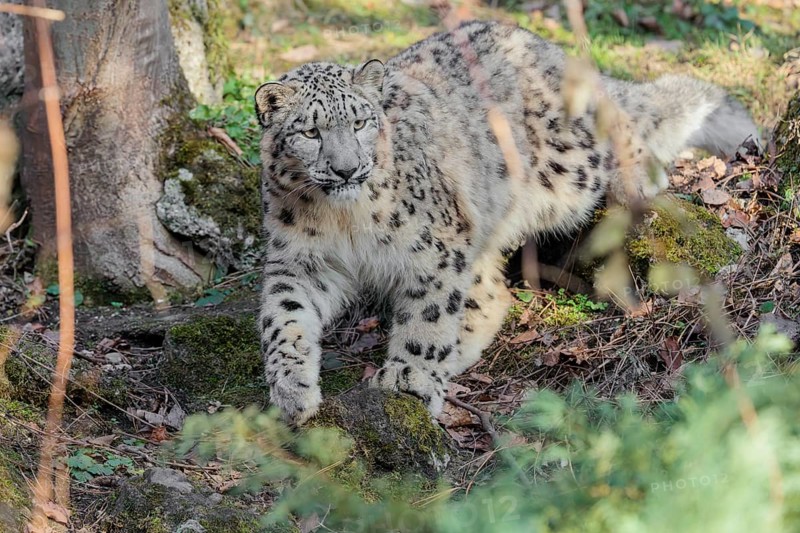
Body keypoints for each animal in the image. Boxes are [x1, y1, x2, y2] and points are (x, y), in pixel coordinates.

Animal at [253, 20, 757, 424]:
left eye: (360, 122)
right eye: (310, 131)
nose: (346, 169)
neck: (343, 219)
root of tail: (544, 47)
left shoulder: (434, 248)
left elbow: (427, 316)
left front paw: (410, 379)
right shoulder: (302, 261)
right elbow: (283, 317)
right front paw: (292, 391)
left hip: (570, 166)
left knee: (620, 125)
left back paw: (641, 174)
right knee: (493, 293)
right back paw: (458, 351)